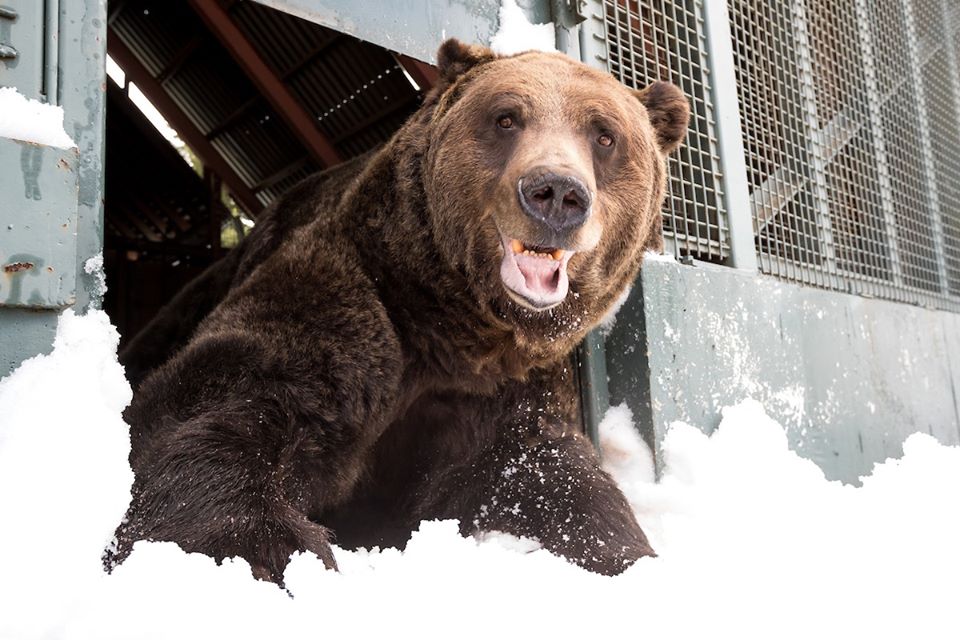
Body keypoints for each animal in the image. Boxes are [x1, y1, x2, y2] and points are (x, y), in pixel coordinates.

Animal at [109, 37, 688, 584]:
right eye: (506, 117)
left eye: (605, 135)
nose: (556, 192)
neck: (454, 329)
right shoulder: (356, 297)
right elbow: (224, 405)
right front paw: (273, 549)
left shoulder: (506, 387)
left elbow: (550, 476)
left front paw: (625, 555)